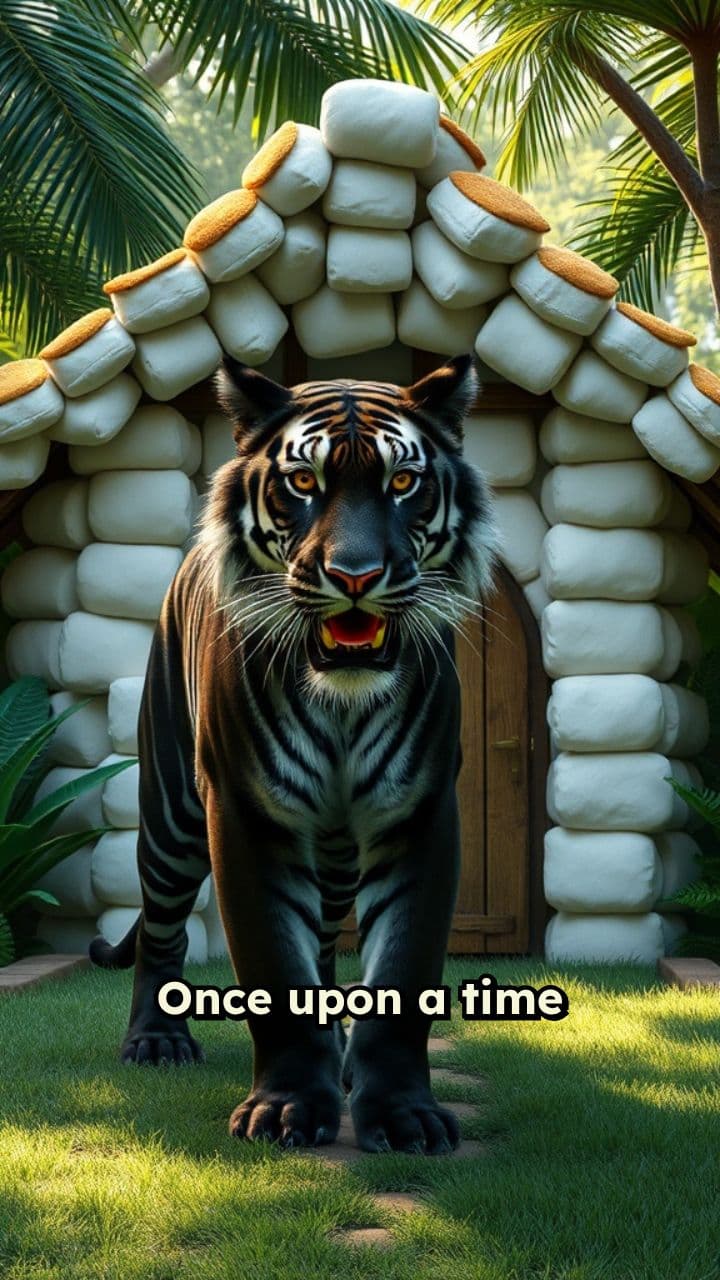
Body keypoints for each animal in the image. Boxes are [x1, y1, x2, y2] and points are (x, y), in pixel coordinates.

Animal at [90, 352, 497, 1155]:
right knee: (160, 931)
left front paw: (402, 1113)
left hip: (335, 857)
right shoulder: (248, 814)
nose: (355, 575)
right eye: (304, 483)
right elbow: (275, 967)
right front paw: (284, 1109)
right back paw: (155, 1041)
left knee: (327, 942)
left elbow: (401, 972)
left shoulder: (419, 814)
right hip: (171, 818)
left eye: (402, 483)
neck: (342, 702)